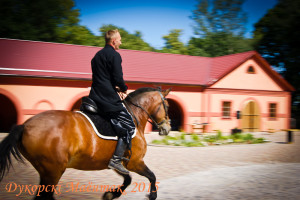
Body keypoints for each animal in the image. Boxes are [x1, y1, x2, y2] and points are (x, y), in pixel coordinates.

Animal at [0, 87, 171, 200]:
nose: (167, 128)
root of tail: (25, 126)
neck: (133, 117)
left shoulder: (118, 163)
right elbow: (152, 176)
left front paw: (110, 194)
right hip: (53, 170)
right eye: (168, 106)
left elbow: (128, 179)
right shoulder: (135, 162)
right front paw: (152, 195)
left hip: (46, 171)